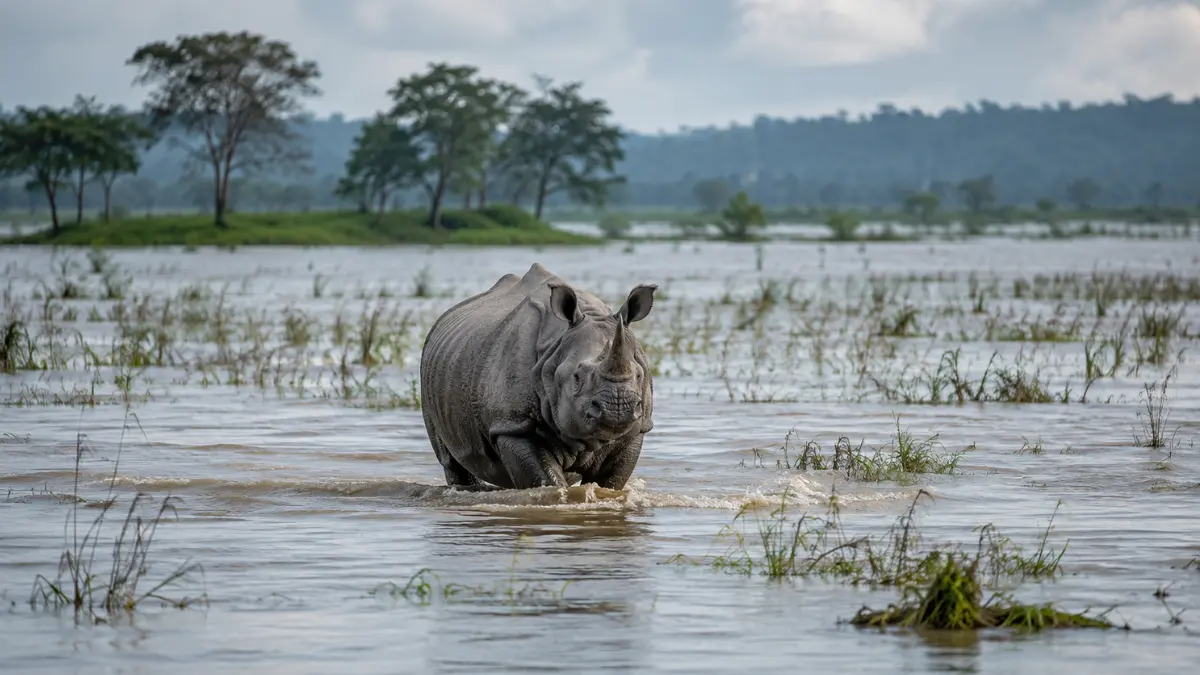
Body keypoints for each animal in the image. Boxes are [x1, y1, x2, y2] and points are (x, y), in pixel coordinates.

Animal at [419, 263, 657, 490]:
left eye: (639, 375)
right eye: (576, 377)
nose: (617, 408)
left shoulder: (635, 429)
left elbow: (611, 482)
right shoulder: (513, 425)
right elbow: (543, 478)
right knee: (452, 461)